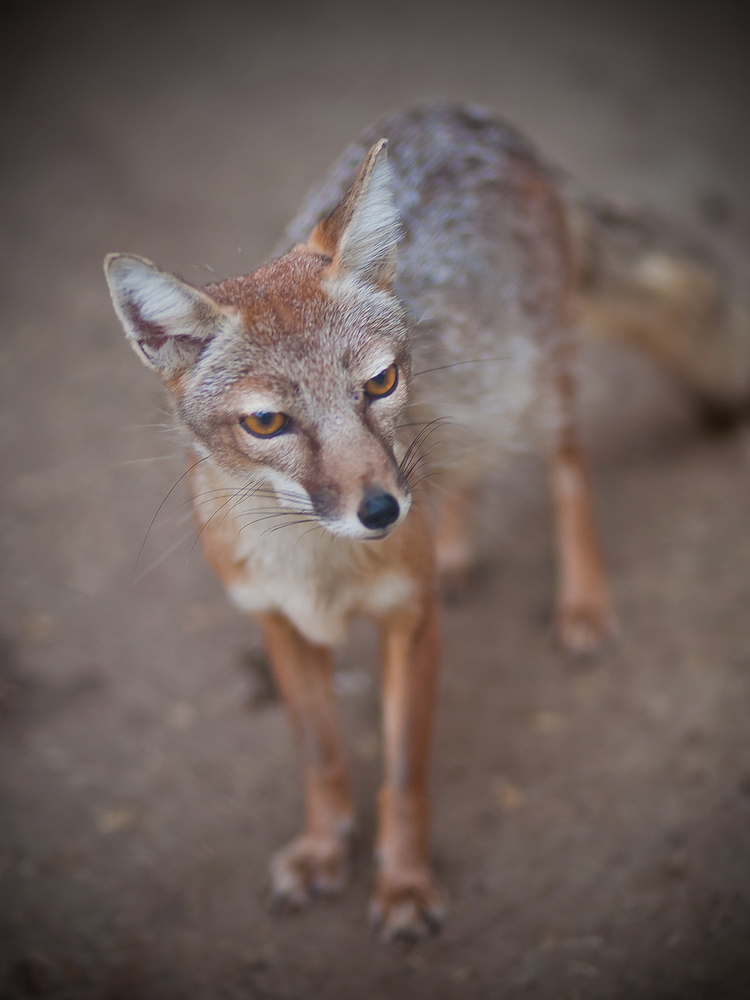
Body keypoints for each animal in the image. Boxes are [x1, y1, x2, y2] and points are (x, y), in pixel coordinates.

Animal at [105, 104, 749, 941]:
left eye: (379, 382)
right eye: (268, 422)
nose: (384, 510)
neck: (322, 568)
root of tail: (470, 118)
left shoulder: (411, 622)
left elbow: (405, 774)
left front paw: (405, 882)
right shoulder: (275, 622)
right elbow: (322, 757)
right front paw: (325, 850)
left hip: (539, 385)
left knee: (570, 475)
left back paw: (582, 601)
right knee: (467, 473)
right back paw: (456, 551)